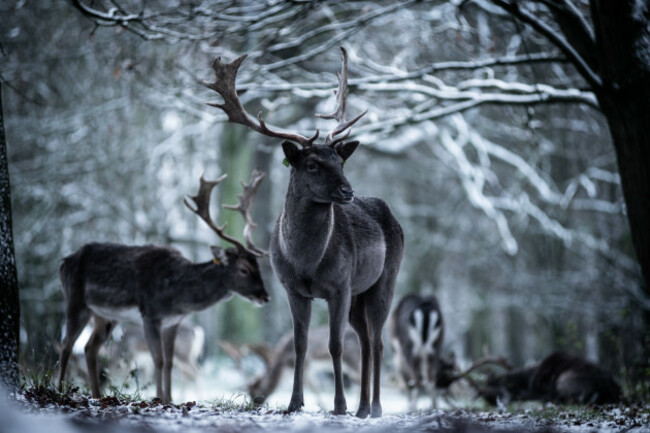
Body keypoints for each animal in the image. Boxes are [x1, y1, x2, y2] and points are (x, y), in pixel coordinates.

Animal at [55, 168, 268, 402]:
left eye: (258, 266)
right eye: (244, 269)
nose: (264, 296)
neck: (176, 293)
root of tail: (64, 262)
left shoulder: (172, 322)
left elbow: (170, 363)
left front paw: (170, 399)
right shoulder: (150, 314)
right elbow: (159, 360)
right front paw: (159, 398)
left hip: (105, 315)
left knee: (89, 348)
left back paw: (98, 395)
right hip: (75, 300)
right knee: (66, 345)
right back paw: (60, 391)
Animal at [205, 46, 402, 416]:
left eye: (341, 162)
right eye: (311, 164)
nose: (347, 191)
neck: (308, 262)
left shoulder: (340, 286)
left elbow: (334, 344)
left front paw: (338, 406)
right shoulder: (292, 289)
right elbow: (299, 344)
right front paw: (294, 404)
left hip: (384, 281)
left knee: (378, 341)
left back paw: (375, 407)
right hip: (359, 295)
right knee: (365, 340)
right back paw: (362, 408)